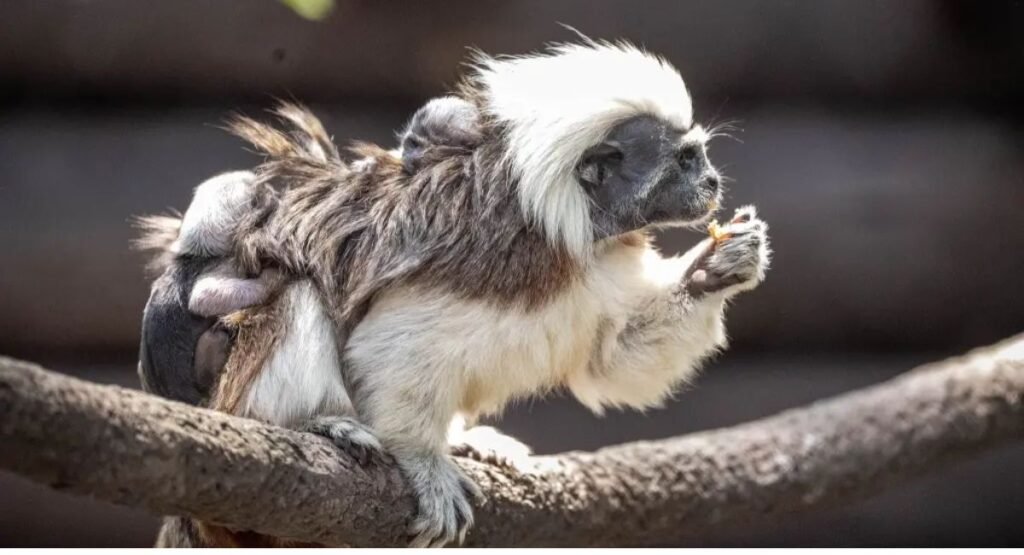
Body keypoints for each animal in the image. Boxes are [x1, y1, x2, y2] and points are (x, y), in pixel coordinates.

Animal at [135, 171, 284, 405]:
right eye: (260, 195)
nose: (276, 193)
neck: (198, 255)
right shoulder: (226, 264)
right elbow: (205, 297)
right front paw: (274, 276)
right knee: (217, 335)